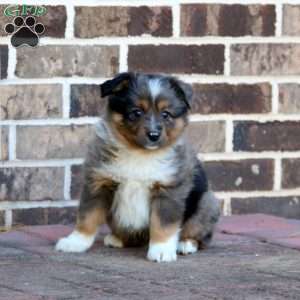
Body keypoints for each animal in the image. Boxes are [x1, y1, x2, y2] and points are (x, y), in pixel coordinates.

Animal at [55, 72, 220, 262]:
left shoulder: (168, 190)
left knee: (202, 235)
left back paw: (186, 244)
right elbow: (87, 216)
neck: (140, 153)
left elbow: (163, 223)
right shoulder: (99, 182)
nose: (154, 135)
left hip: (207, 203)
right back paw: (117, 239)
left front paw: (162, 250)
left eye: (166, 114)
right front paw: (75, 242)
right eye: (136, 112)